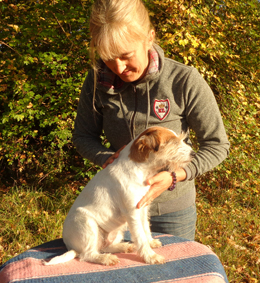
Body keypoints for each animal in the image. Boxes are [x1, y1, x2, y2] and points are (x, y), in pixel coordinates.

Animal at [44, 127, 194, 268]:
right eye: (173, 142)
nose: (193, 153)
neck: (141, 169)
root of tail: (72, 247)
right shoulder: (133, 213)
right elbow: (140, 236)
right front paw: (151, 256)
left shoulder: (143, 208)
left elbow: (146, 228)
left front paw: (151, 242)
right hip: (86, 224)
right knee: (87, 255)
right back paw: (106, 259)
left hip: (115, 231)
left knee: (103, 247)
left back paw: (124, 246)